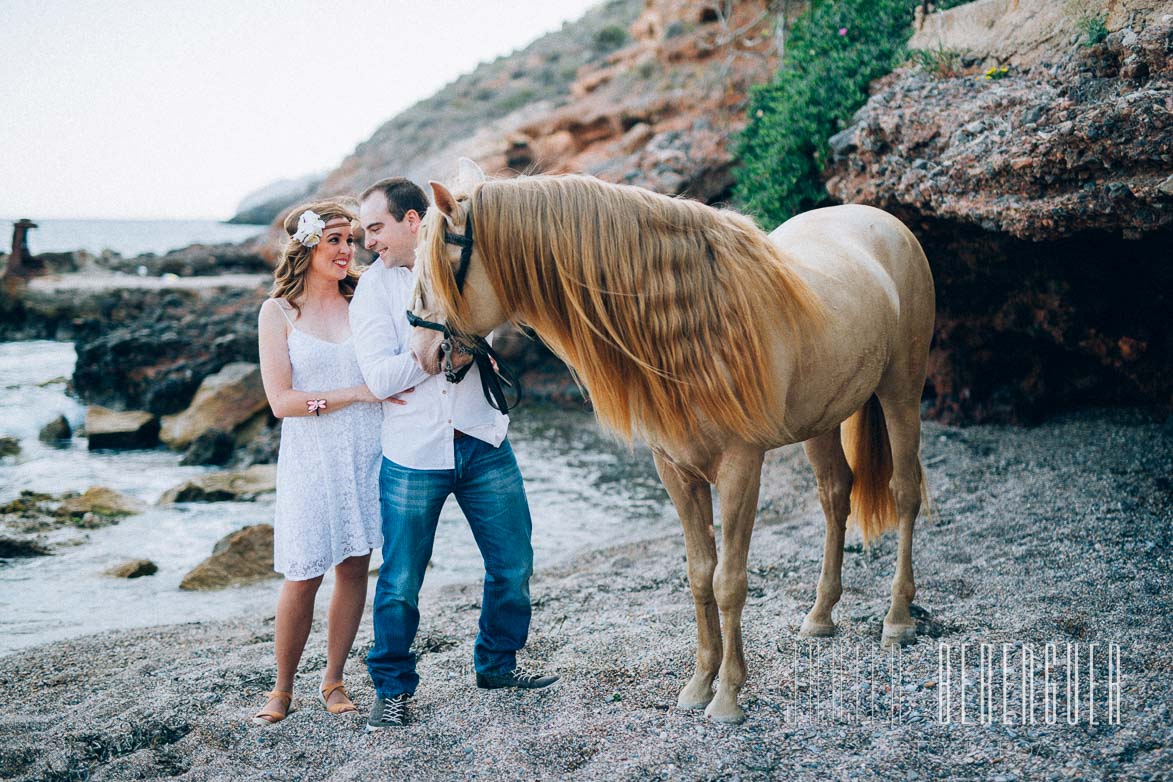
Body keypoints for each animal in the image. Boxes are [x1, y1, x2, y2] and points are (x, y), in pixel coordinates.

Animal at [410, 160, 933, 726]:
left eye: (441, 267)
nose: (420, 353)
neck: (699, 327)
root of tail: (881, 221)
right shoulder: (676, 472)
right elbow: (700, 575)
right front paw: (699, 684)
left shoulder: (740, 467)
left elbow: (730, 581)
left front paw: (727, 698)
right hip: (821, 420)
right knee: (836, 495)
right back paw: (820, 616)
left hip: (902, 390)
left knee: (905, 493)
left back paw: (898, 619)